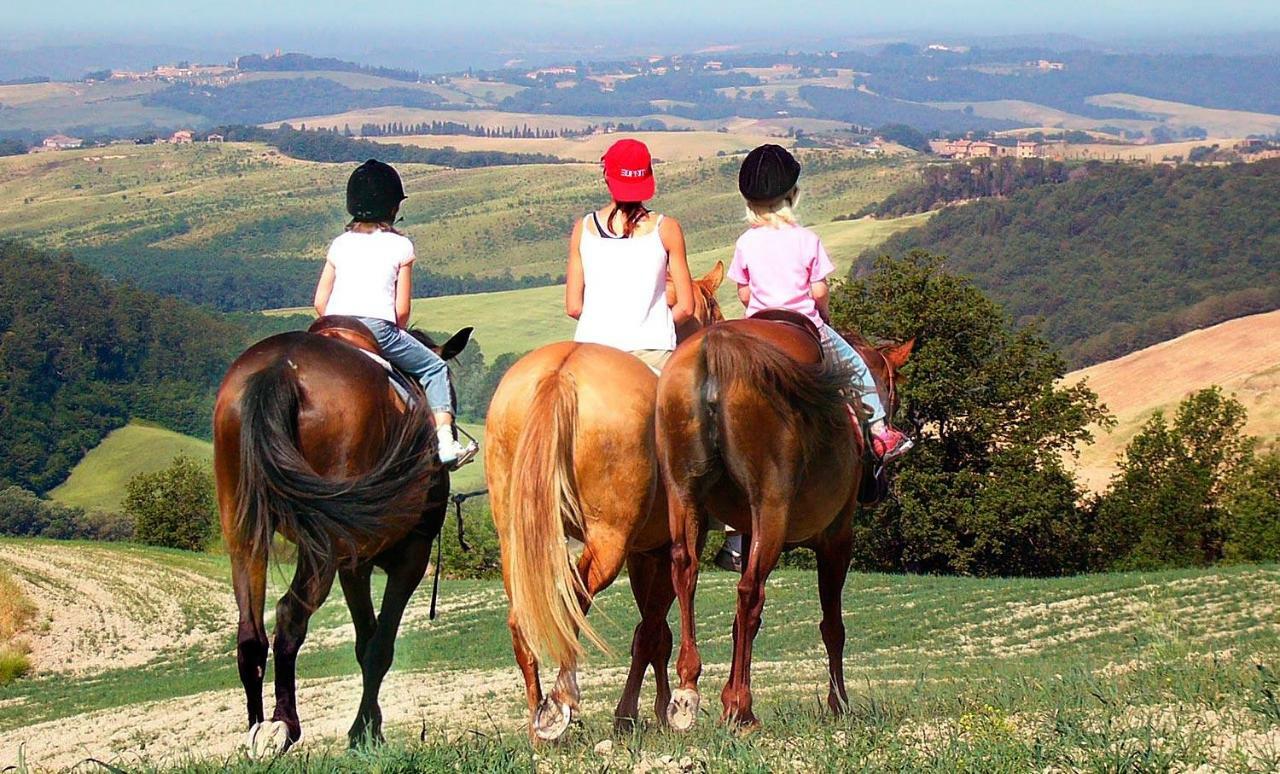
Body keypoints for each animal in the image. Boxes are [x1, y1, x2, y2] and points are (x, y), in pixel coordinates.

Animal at [212, 315, 473, 752]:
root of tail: (281, 368)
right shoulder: (411, 557)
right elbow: (380, 646)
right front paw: (364, 730)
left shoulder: (355, 565)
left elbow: (365, 640)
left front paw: (369, 726)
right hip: (323, 543)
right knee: (290, 614)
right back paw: (284, 726)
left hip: (244, 530)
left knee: (250, 632)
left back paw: (257, 728)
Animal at [483, 262, 727, 742]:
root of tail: (560, 372)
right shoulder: (671, 541)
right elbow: (658, 623)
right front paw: (676, 701)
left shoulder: (643, 551)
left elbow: (652, 633)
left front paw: (645, 711)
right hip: (607, 542)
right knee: (571, 602)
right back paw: (561, 701)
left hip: (517, 541)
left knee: (525, 616)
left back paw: (539, 719)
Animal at [660, 318, 911, 731]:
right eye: (894, 393)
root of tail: (718, 347)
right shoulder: (837, 540)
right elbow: (832, 626)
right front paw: (838, 704)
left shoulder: (747, 533)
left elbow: (738, 626)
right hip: (772, 508)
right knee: (750, 593)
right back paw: (740, 707)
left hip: (683, 494)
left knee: (686, 572)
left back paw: (689, 689)